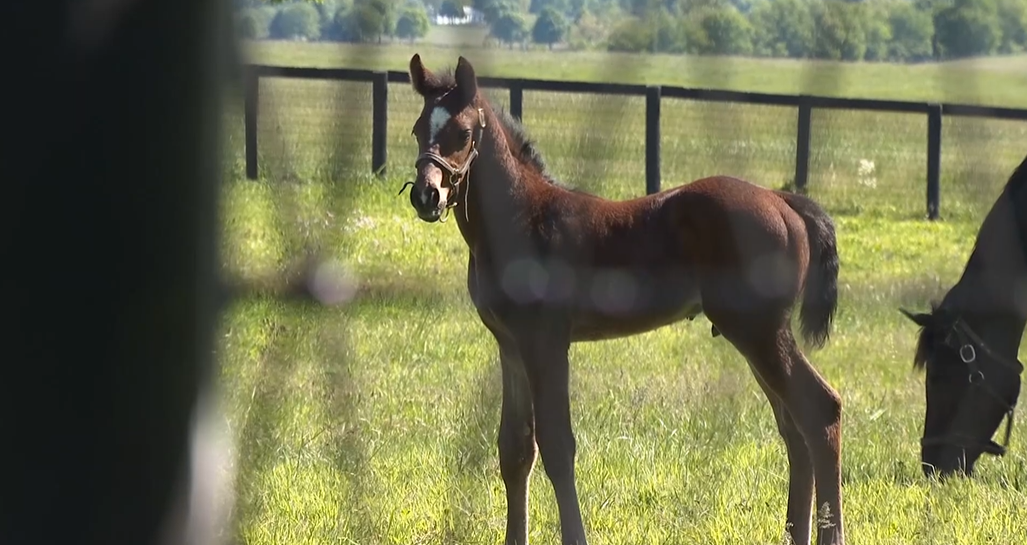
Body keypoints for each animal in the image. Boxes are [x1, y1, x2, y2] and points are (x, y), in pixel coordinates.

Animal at [400, 54, 846, 545]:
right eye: (418, 129)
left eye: (462, 133)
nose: (427, 195)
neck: (520, 220)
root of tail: (784, 201)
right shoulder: (510, 344)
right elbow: (514, 449)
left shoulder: (546, 341)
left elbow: (557, 445)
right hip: (756, 334)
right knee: (795, 430)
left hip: (758, 331)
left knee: (819, 411)